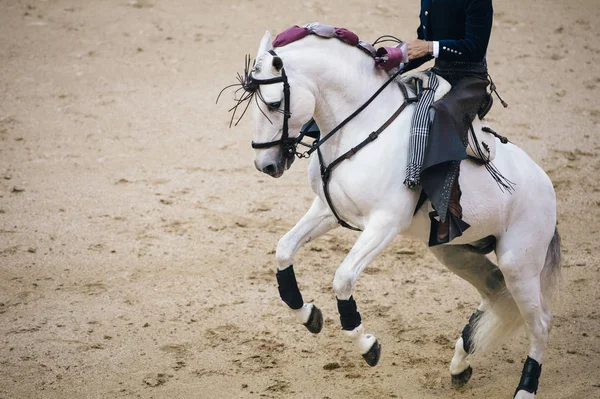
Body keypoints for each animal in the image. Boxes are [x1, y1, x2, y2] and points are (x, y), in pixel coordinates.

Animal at [241, 29, 560, 398]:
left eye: (274, 103)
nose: (264, 165)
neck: (359, 127)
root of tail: (547, 186)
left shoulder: (385, 223)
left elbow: (343, 277)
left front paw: (367, 345)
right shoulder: (327, 210)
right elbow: (284, 249)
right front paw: (308, 314)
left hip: (519, 263)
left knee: (540, 322)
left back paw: (525, 386)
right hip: (455, 252)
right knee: (497, 291)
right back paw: (460, 365)